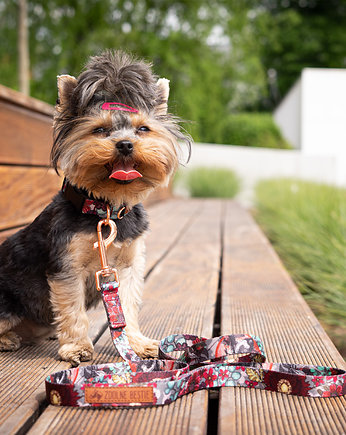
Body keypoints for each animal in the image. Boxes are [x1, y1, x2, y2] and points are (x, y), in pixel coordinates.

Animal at [0, 49, 189, 366]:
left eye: (143, 129)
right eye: (99, 130)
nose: (125, 144)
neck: (105, 209)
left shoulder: (127, 267)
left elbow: (127, 306)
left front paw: (136, 343)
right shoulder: (67, 267)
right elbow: (72, 308)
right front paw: (77, 346)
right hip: (7, 301)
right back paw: (8, 339)